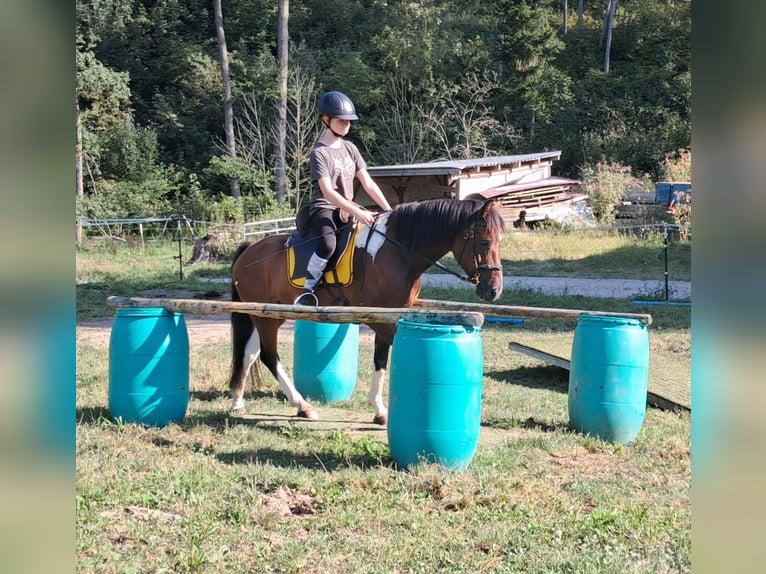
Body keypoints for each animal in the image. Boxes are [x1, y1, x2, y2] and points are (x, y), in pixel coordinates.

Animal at [230, 196, 504, 426]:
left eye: (500, 241)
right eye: (485, 241)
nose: (494, 290)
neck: (398, 252)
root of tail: (250, 248)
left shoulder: (393, 313)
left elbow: (380, 361)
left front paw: (379, 411)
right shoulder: (381, 318)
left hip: (266, 314)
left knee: (249, 353)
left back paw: (238, 401)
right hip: (266, 317)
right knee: (268, 356)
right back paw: (303, 406)